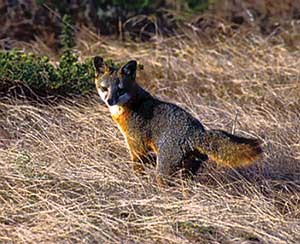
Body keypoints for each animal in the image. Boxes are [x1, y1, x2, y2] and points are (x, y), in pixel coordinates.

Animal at [94, 56, 262, 183]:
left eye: (120, 90)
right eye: (104, 88)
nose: (110, 101)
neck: (131, 105)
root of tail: (197, 132)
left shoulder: (138, 148)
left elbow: (137, 168)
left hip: (163, 171)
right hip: (187, 173)